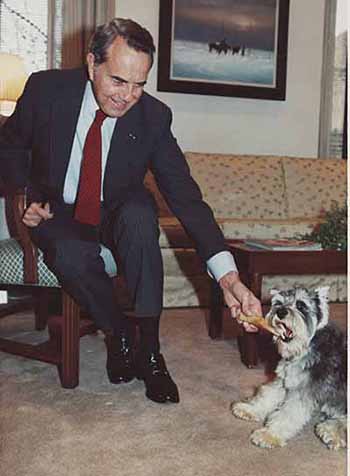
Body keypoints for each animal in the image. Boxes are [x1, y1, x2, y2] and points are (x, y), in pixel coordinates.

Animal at [231, 286, 346, 450]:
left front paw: (269, 435)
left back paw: (331, 431)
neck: (305, 347)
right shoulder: (285, 381)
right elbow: (267, 395)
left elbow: (288, 414)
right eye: (278, 303)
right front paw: (249, 409)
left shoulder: (303, 391)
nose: (281, 312)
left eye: (301, 305)